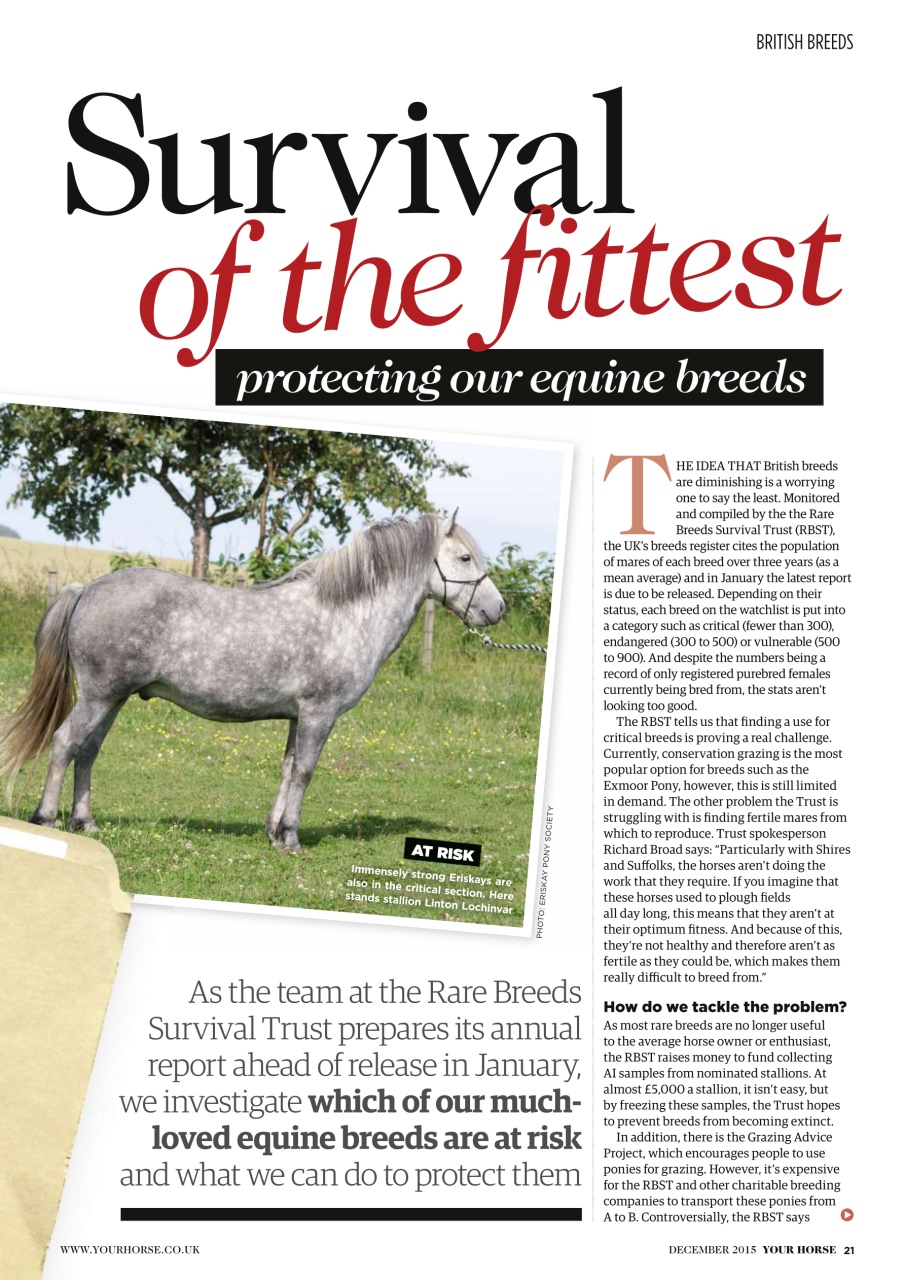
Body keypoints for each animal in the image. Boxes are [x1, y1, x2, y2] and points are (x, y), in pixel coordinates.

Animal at [0, 511, 504, 851]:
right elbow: (305, 771)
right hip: (100, 696)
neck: (345, 615)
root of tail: (87, 588)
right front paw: (293, 838)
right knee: (65, 743)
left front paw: (275, 833)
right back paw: (46, 819)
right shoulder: (320, 714)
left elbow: (287, 768)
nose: (497, 610)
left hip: (113, 699)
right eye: (464, 556)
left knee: (87, 751)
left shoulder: (299, 717)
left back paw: (85, 823)